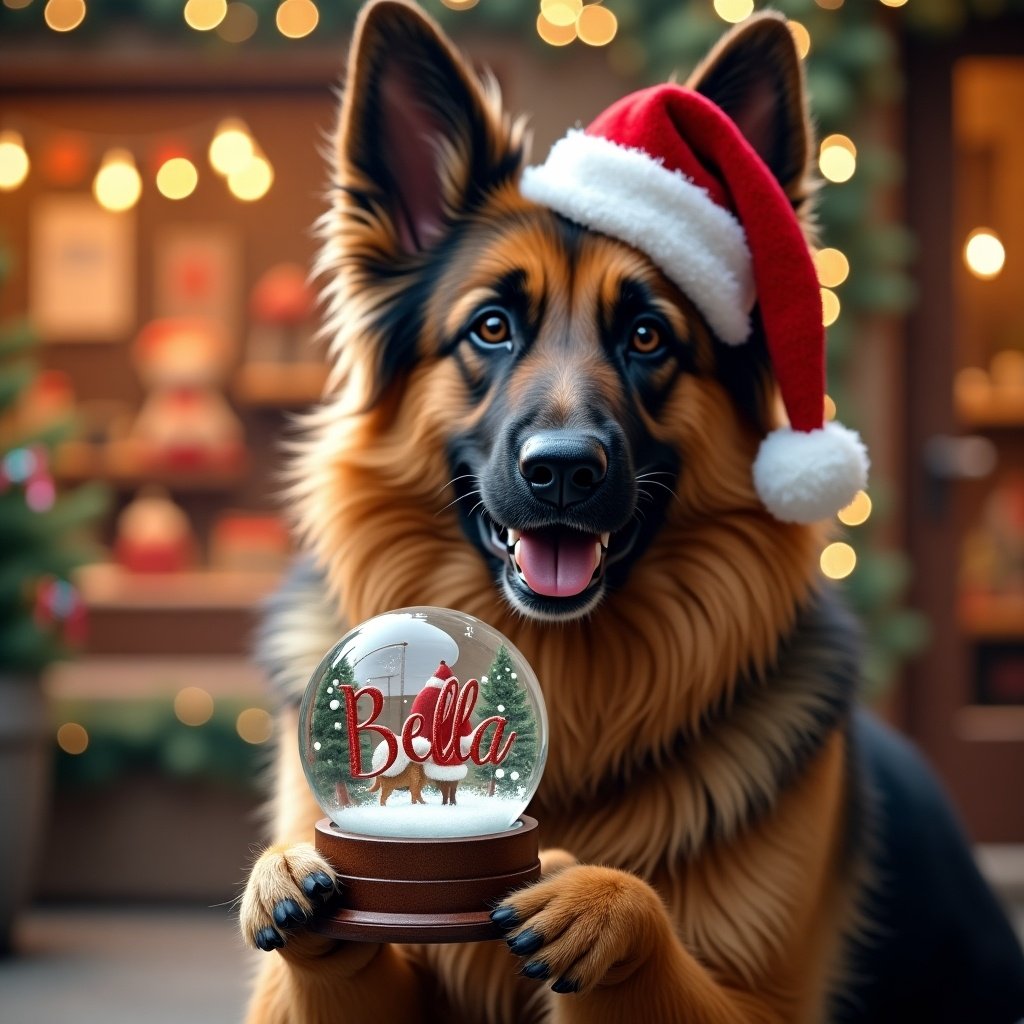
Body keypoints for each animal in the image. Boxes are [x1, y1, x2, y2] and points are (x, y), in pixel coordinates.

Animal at [239, 4, 1024, 1019]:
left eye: (648, 337)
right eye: (491, 327)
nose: (563, 472)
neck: (575, 687)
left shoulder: (765, 1002)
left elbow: (642, 918)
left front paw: (602, 899)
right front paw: (288, 874)